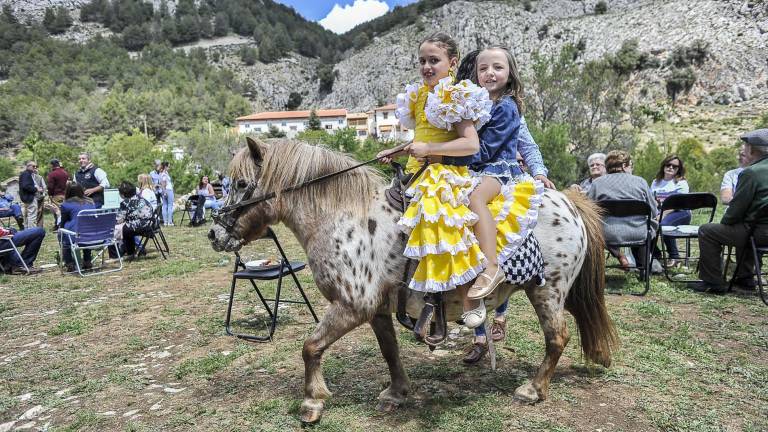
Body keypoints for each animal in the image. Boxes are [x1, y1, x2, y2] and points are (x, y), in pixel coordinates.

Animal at [208, 138, 616, 426]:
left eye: (241, 183)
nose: (214, 233)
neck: (344, 217)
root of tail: (570, 202)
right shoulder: (376, 309)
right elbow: (390, 351)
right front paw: (397, 392)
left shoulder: (351, 306)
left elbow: (310, 347)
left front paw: (312, 401)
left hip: (547, 289)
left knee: (557, 337)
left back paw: (533, 389)